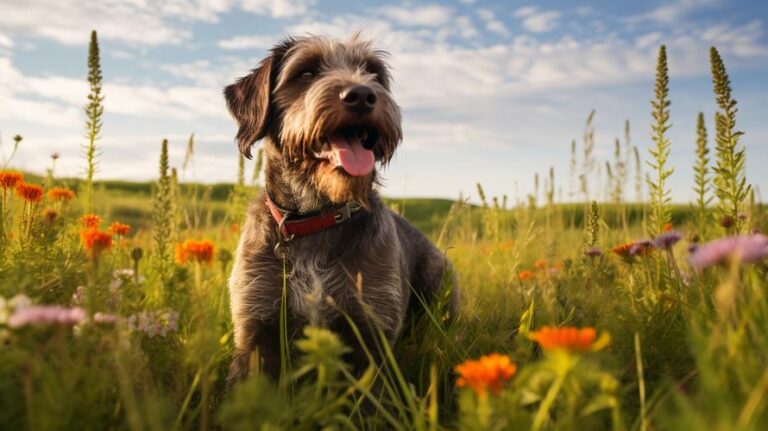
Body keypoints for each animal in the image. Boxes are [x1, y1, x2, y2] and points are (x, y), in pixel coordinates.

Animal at [225, 35, 460, 384]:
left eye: (373, 73)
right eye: (306, 72)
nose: (362, 95)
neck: (317, 219)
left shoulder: (372, 329)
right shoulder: (255, 327)